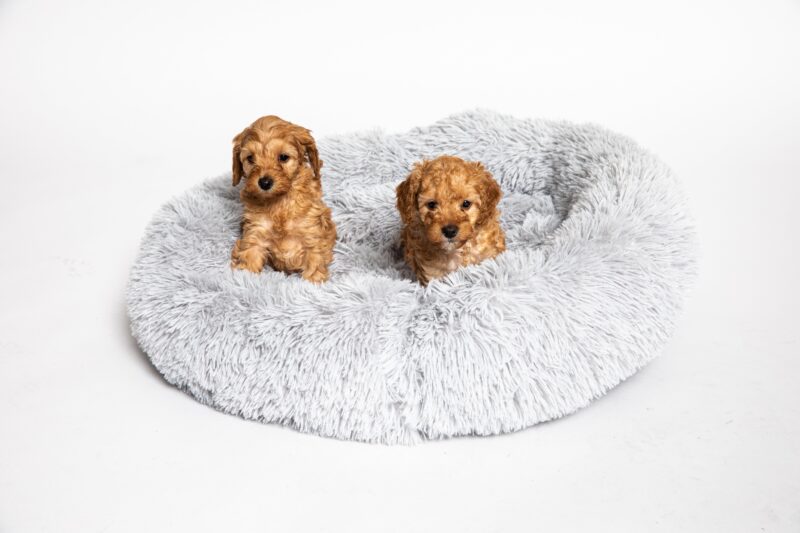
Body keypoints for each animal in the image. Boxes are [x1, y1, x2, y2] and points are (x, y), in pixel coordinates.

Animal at [230, 115, 336, 282]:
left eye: (283, 157)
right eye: (250, 158)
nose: (264, 183)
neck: (279, 202)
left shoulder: (312, 234)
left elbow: (314, 261)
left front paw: (313, 281)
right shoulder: (255, 232)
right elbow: (249, 256)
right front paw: (245, 278)